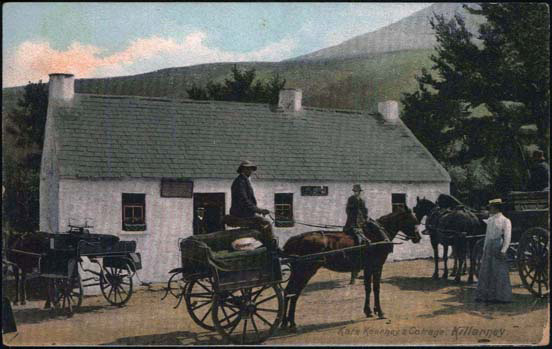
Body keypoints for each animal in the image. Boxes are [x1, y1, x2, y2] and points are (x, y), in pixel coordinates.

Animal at [280, 208, 422, 330]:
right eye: (412, 221)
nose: (418, 237)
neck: (376, 235)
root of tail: (296, 239)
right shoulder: (377, 266)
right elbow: (376, 288)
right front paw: (380, 312)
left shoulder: (368, 267)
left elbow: (368, 288)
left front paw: (369, 311)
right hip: (305, 271)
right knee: (294, 293)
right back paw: (291, 322)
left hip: (297, 272)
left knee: (288, 292)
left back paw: (285, 322)